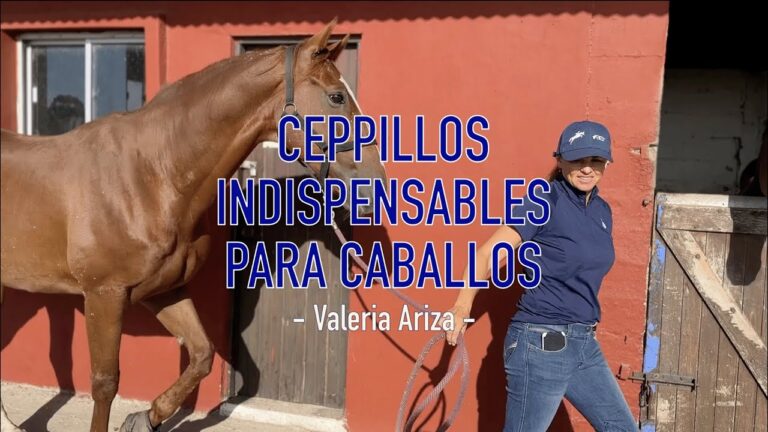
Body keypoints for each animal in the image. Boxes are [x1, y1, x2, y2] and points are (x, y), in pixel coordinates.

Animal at [0, 19, 386, 432]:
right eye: (336, 97)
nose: (375, 184)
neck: (153, 176)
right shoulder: (104, 294)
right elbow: (105, 383)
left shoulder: (165, 289)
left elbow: (202, 354)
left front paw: (146, 417)